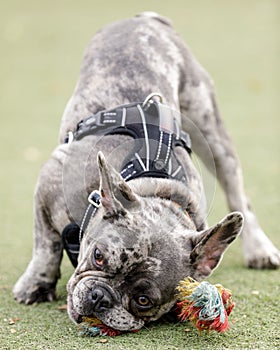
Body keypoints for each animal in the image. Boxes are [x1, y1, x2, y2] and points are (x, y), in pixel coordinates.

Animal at [13, 13, 280, 330]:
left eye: (143, 301)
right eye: (98, 257)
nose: (100, 297)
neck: (149, 182)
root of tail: (145, 18)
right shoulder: (49, 184)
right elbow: (46, 244)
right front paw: (37, 283)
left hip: (212, 131)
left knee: (237, 192)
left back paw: (260, 249)